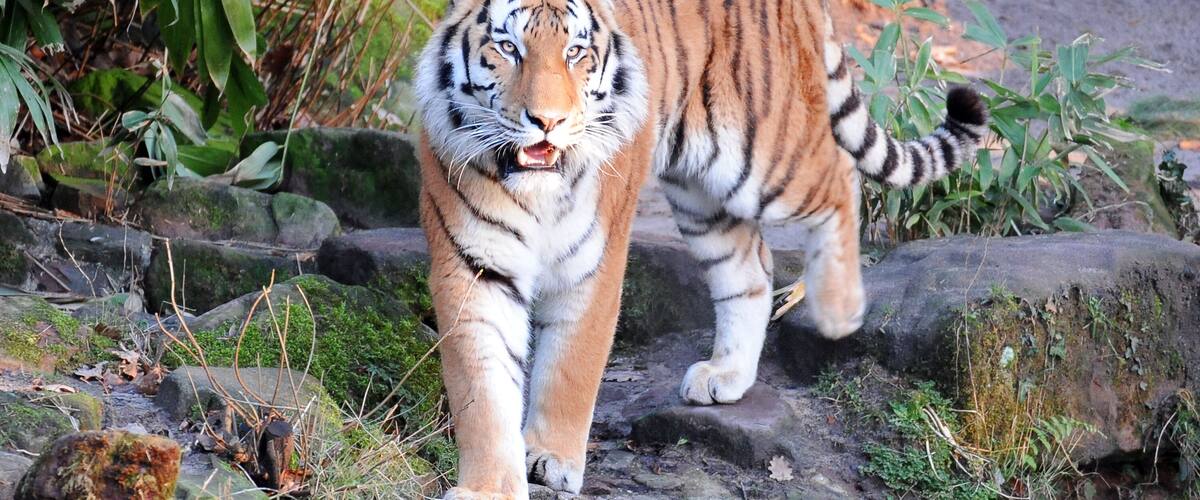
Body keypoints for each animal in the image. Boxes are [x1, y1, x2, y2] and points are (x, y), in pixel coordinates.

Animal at [414, 0, 987, 497]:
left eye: (575, 52)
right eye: (508, 48)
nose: (547, 121)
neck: (536, 190)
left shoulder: (593, 266)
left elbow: (571, 367)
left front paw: (550, 458)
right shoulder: (473, 267)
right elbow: (482, 391)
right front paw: (489, 487)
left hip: (765, 152)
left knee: (840, 177)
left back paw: (839, 312)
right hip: (701, 192)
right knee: (753, 267)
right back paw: (726, 376)